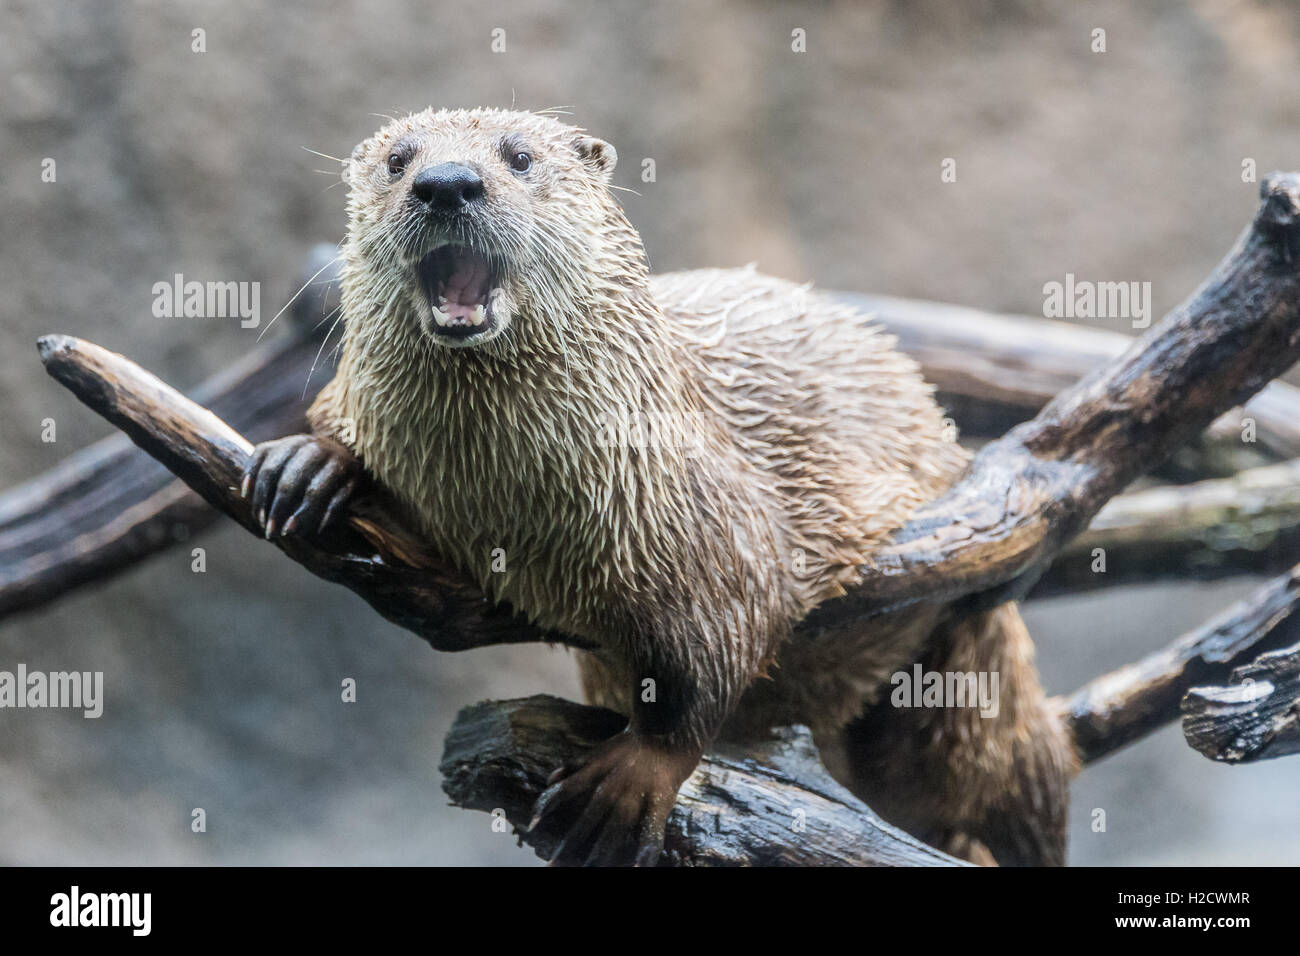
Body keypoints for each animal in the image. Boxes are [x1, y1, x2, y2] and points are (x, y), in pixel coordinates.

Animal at [242, 107, 1078, 866]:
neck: (499, 499)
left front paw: (633, 780)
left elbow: (719, 640)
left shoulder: (710, 519)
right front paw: (312, 461)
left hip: (972, 672)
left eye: (518, 156)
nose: (446, 182)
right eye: (399, 160)